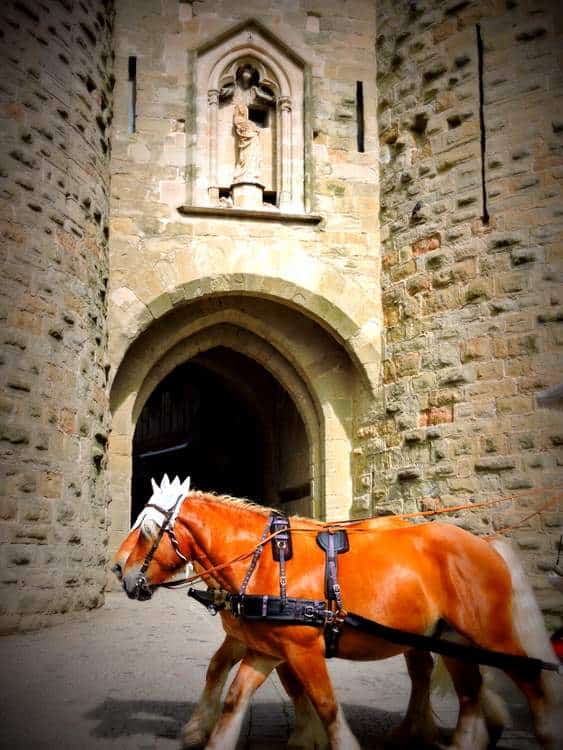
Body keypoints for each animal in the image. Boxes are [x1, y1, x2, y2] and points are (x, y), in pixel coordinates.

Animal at [114, 482, 560, 750]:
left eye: (148, 531)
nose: (118, 568)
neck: (266, 560)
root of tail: (483, 543)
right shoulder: (265, 648)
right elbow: (234, 694)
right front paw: (207, 733)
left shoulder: (302, 648)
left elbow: (324, 703)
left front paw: (317, 737)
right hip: (450, 638)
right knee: (465, 691)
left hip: (488, 635)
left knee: (528, 677)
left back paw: (544, 733)